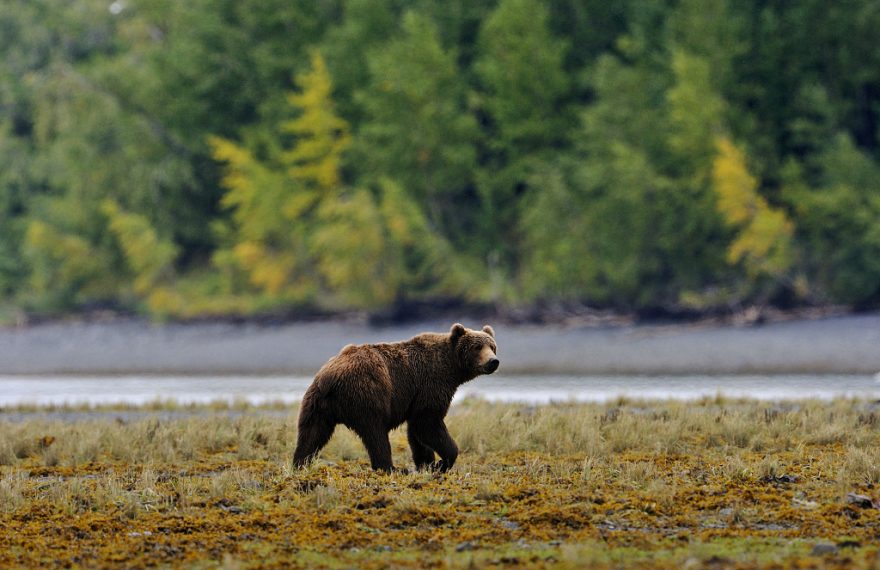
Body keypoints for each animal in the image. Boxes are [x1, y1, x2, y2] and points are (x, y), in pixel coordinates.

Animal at [292, 322, 498, 472]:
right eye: (477, 347)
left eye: (492, 346)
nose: (493, 361)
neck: (452, 368)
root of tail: (330, 376)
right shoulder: (432, 383)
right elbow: (428, 422)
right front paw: (442, 462)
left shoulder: (417, 397)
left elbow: (416, 432)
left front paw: (427, 464)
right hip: (367, 393)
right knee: (376, 433)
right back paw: (390, 467)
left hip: (316, 403)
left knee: (311, 433)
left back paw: (300, 464)